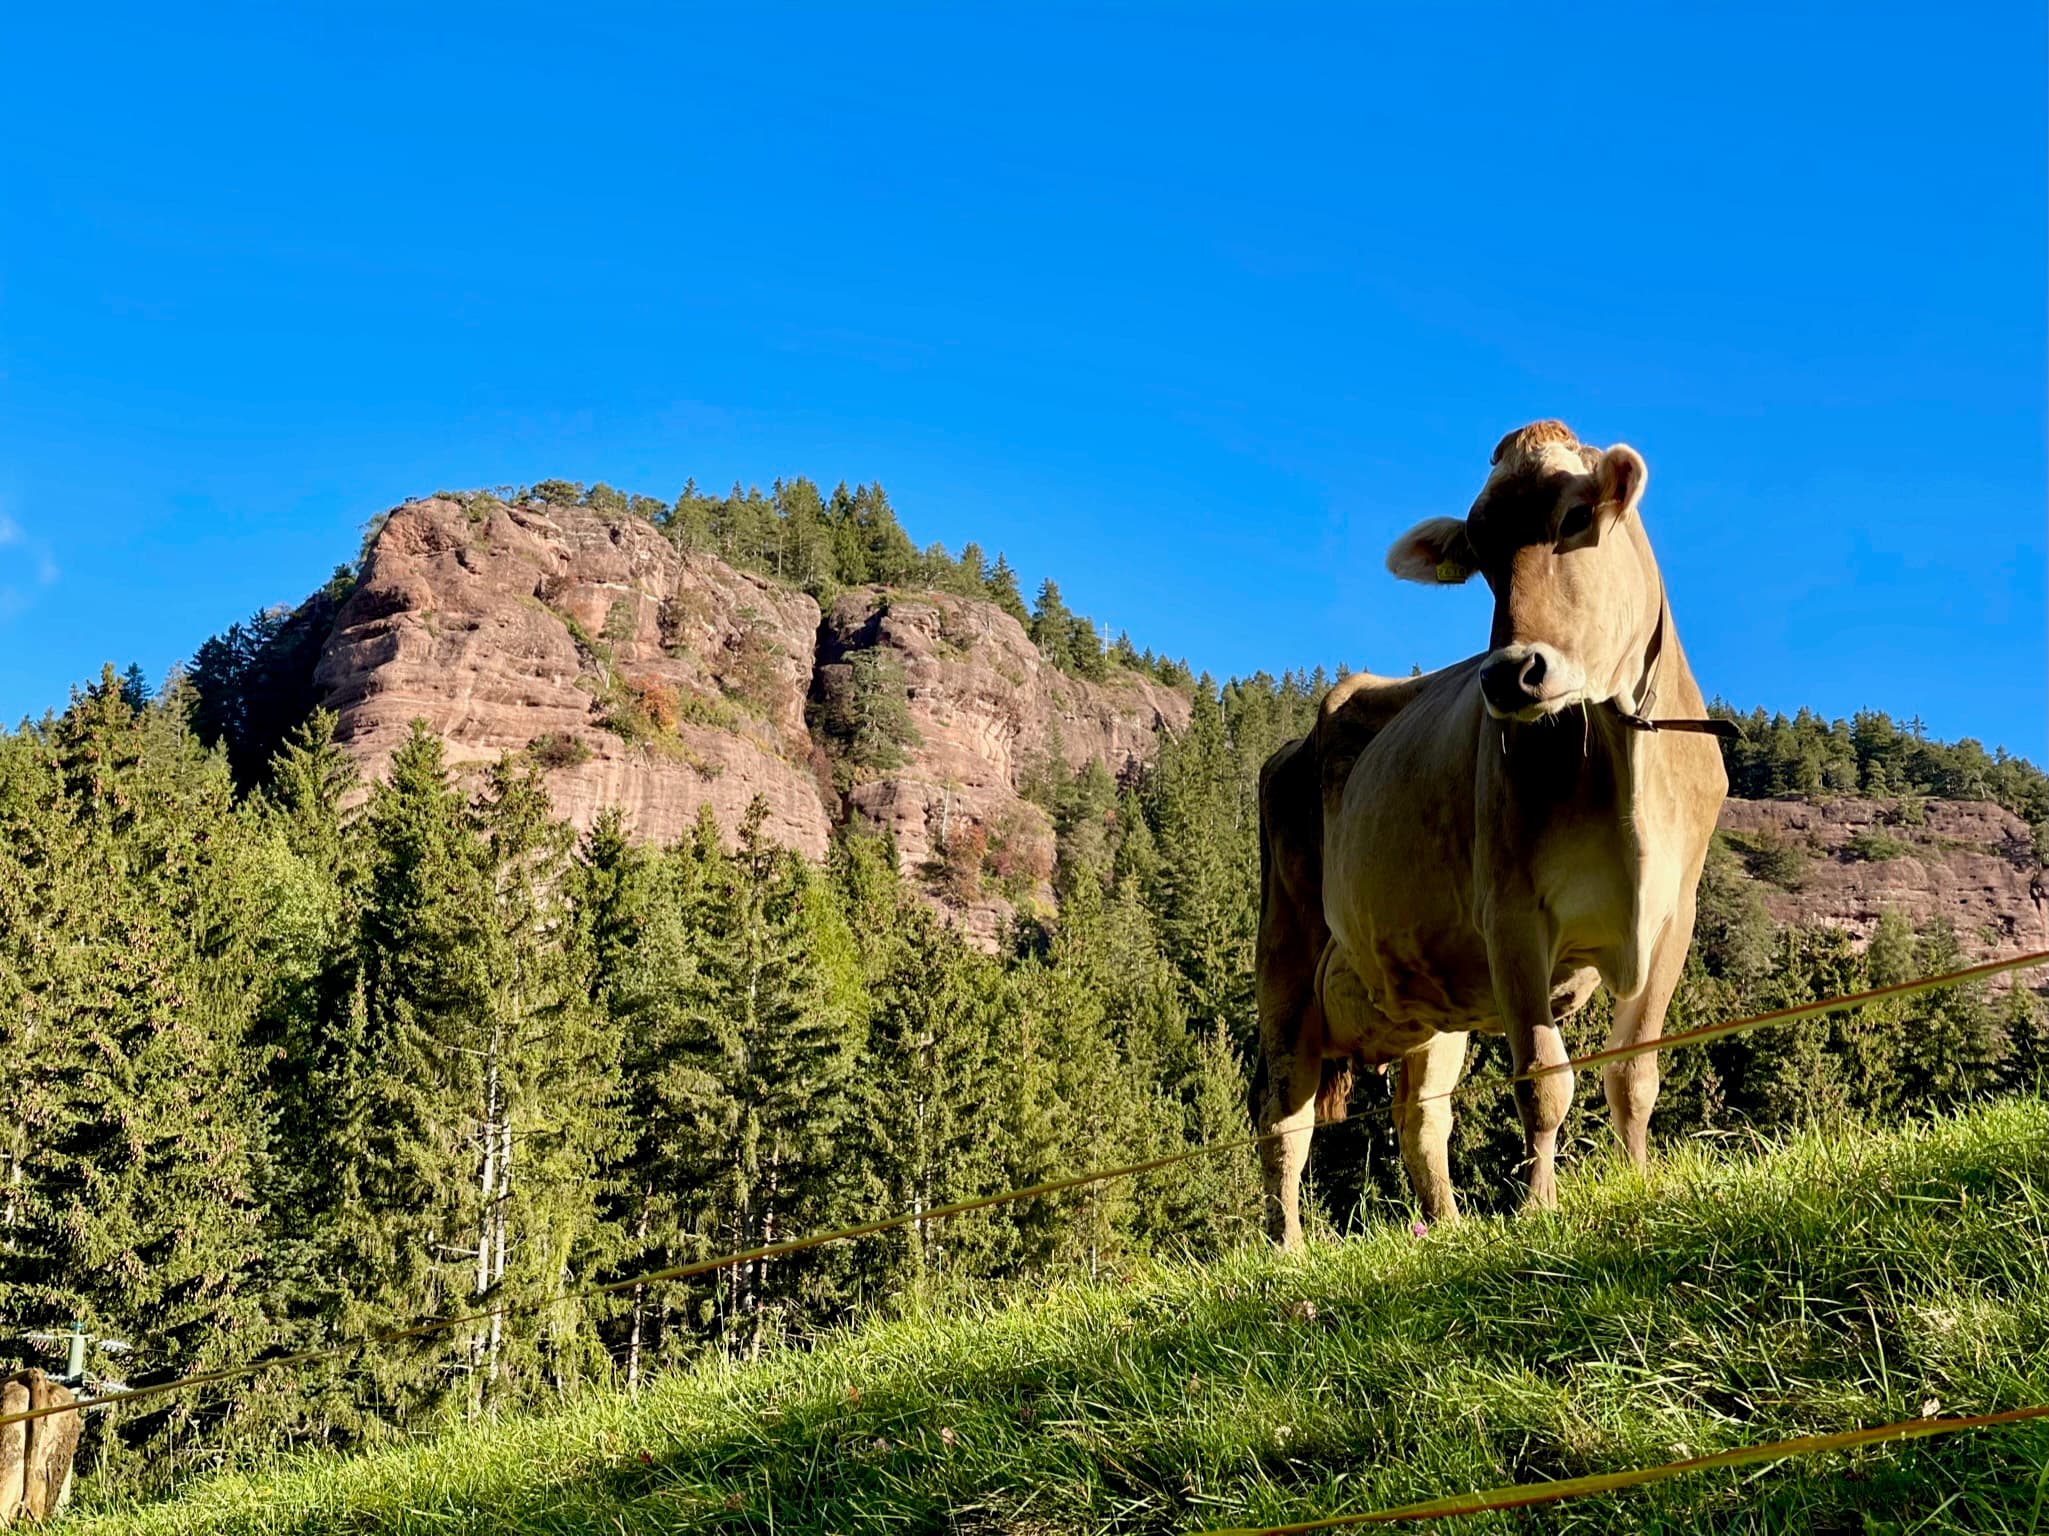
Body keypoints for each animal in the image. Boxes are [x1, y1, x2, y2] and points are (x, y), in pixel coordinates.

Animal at [1255, 420, 1729, 1249]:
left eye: (1576, 516)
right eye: (1477, 558)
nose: (1509, 673)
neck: (1621, 752)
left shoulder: (1675, 914)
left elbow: (1632, 1073)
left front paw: (1639, 1182)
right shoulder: (1510, 915)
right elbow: (1543, 1078)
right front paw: (1539, 1207)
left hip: (1429, 1008)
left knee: (1420, 1120)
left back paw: (1445, 1229)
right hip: (1283, 957)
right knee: (1286, 1118)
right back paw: (1287, 1251)